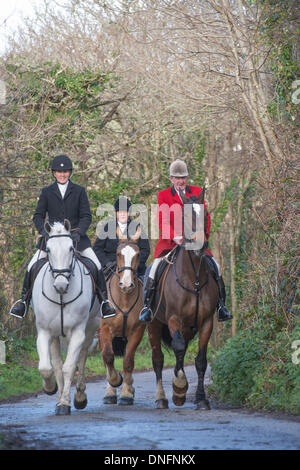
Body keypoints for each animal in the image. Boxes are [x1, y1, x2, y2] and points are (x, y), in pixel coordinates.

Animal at [31, 220, 99, 414]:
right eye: (48, 249)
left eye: (70, 248)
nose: (61, 285)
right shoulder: (45, 332)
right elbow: (47, 367)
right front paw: (51, 389)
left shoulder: (77, 332)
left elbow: (69, 367)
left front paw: (65, 402)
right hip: (56, 336)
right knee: (57, 364)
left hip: (90, 329)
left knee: (81, 358)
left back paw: (80, 396)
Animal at [98, 224, 146, 404]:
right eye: (118, 253)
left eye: (137, 254)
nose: (126, 284)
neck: (124, 298)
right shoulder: (104, 329)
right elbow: (108, 356)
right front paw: (115, 381)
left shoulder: (137, 331)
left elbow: (128, 361)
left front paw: (126, 392)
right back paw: (110, 391)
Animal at [148, 187, 218, 408]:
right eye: (185, 217)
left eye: (205, 214)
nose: (200, 245)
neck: (193, 277)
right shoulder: (173, 319)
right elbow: (177, 348)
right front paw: (179, 388)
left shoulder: (206, 321)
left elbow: (201, 360)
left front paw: (201, 399)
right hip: (154, 324)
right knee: (158, 359)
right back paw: (161, 398)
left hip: (188, 328)